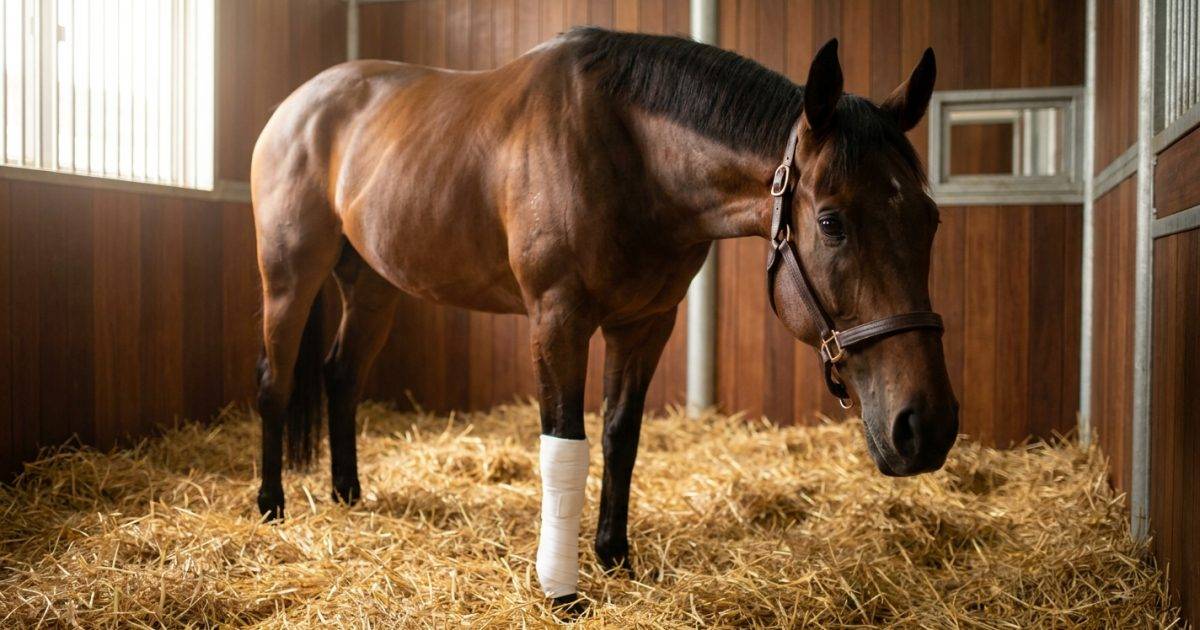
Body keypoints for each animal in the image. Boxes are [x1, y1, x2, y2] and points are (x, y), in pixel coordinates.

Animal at [249, 27, 958, 609]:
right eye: (832, 222)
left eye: (931, 220)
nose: (927, 427)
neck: (628, 153)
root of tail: (295, 106)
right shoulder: (557, 319)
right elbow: (565, 447)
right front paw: (562, 590)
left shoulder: (646, 323)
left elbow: (621, 436)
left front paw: (615, 557)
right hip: (289, 277)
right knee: (275, 382)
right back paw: (271, 505)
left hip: (373, 286)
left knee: (341, 374)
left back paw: (347, 495)